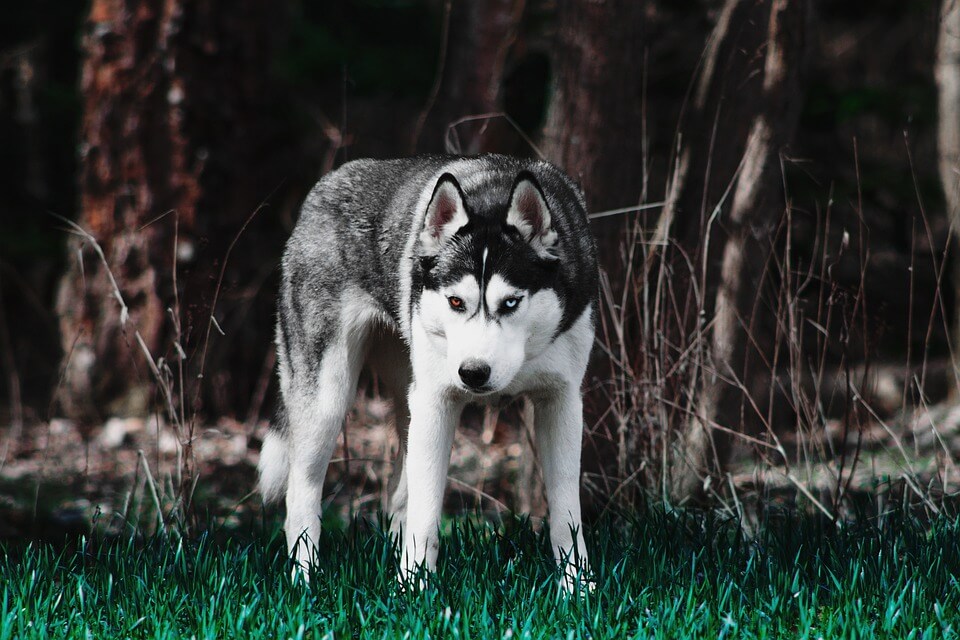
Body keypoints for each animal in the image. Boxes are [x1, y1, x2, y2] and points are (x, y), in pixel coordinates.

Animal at [258, 155, 596, 592]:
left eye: (510, 302)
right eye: (455, 302)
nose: (473, 373)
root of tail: (327, 182)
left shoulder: (562, 400)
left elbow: (566, 510)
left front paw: (578, 589)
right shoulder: (437, 401)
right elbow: (427, 512)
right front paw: (414, 591)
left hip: (407, 406)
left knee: (399, 492)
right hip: (329, 402)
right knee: (301, 492)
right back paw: (305, 580)